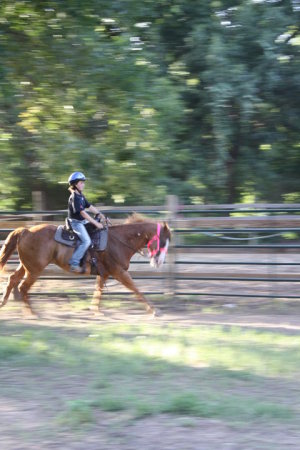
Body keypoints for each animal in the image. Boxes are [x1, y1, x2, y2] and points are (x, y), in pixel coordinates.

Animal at [0, 214, 170, 316]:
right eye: (162, 241)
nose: (159, 262)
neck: (118, 241)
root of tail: (26, 231)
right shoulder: (119, 272)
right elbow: (136, 289)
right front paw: (154, 310)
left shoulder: (104, 273)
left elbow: (98, 291)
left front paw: (95, 310)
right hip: (34, 270)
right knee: (23, 287)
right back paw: (32, 313)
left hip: (26, 266)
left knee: (12, 279)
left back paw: (4, 303)